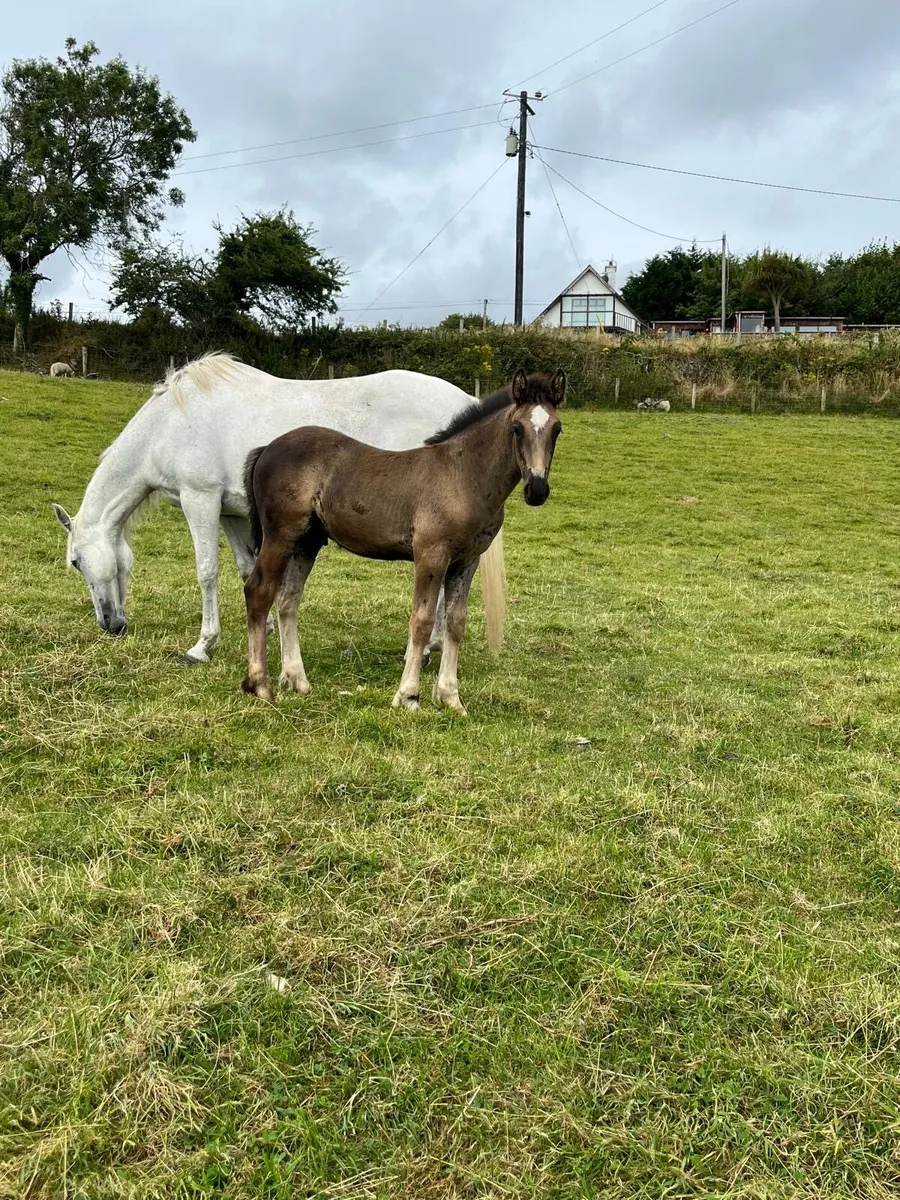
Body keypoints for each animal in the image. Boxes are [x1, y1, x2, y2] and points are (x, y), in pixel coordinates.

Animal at [51, 353, 506, 663]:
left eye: (75, 561)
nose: (111, 625)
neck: (170, 425)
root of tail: (463, 398)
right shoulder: (232, 513)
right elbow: (247, 568)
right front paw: (264, 626)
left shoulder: (200, 500)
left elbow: (206, 571)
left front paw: (203, 645)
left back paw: (427, 649)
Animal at [241, 368, 565, 713]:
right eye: (517, 429)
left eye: (557, 429)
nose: (537, 490)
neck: (463, 474)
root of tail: (267, 448)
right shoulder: (431, 555)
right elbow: (422, 621)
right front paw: (408, 695)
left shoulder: (467, 560)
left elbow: (455, 622)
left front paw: (450, 697)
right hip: (280, 536)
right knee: (259, 591)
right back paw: (259, 685)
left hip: (306, 542)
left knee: (288, 600)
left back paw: (296, 680)